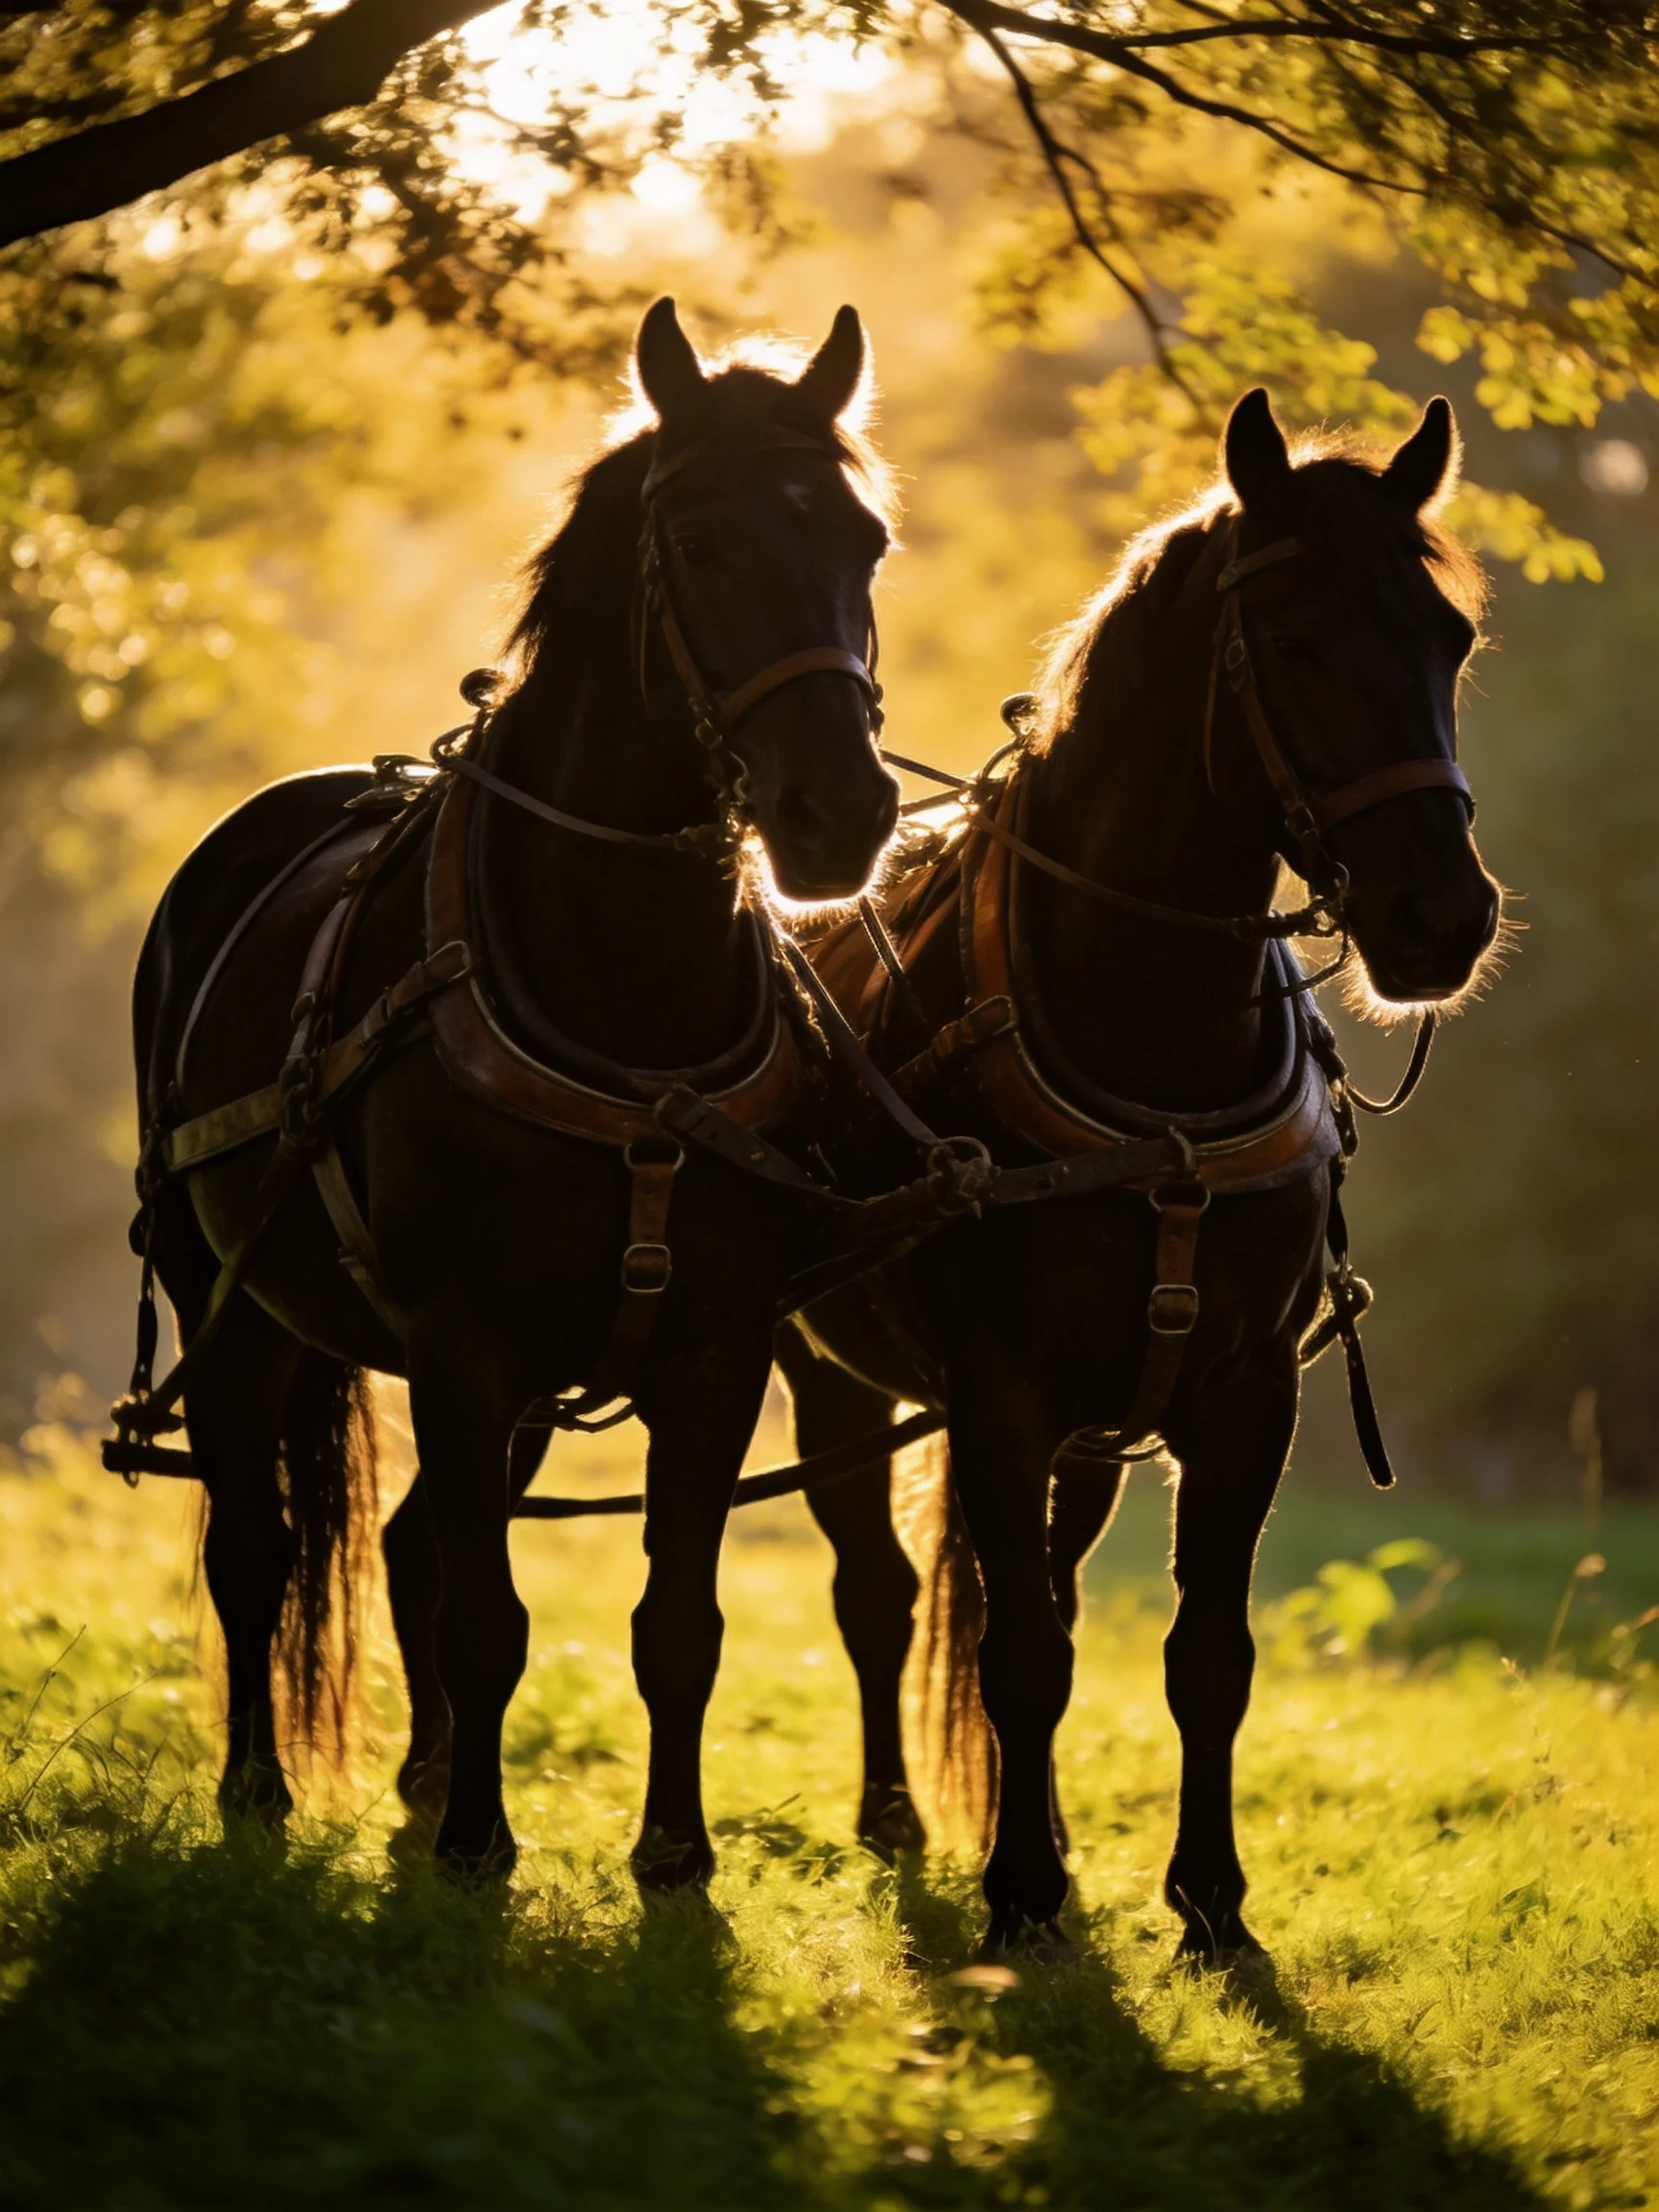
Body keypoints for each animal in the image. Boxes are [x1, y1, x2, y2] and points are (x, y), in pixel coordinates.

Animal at [118, 298, 902, 1884]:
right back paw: (262, 1791)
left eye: (865, 541)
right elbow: (484, 1614)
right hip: (233, 1305)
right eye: (701, 543)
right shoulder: (464, 1342)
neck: (624, 992)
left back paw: (421, 1779)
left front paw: (672, 1856)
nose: (841, 813)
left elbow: (676, 1624)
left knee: (408, 1541)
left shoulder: (711, 1349)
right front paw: (479, 1844)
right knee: (255, 1548)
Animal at [776, 388, 1504, 1955]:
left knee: (1034, 1585)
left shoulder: (1240, 1396)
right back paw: (899, 1818)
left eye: (1449, 637)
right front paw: (1021, 1900)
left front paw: (1210, 1901)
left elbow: (1203, 1654)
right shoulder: (998, 1396)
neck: (1154, 1050)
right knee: (883, 1589)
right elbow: (1020, 1657)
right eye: (1292, 638)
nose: (1443, 917)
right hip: (822, 1369)